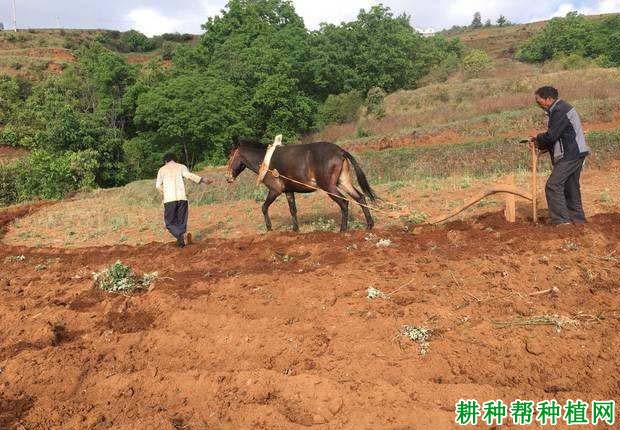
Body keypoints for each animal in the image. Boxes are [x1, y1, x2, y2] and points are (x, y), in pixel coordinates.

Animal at [225, 139, 376, 232]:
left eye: (230, 155)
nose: (228, 177)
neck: (265, 162)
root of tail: (340, 151)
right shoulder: (289, 191)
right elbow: (293, 210)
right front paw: (295, 230)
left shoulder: (275, 190)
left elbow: (264, 207)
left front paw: (269, 228)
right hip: (343, 182)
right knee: (360, 197)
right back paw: (369, 225)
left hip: (329, 186)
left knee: (344, 203)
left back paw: (343, 229)